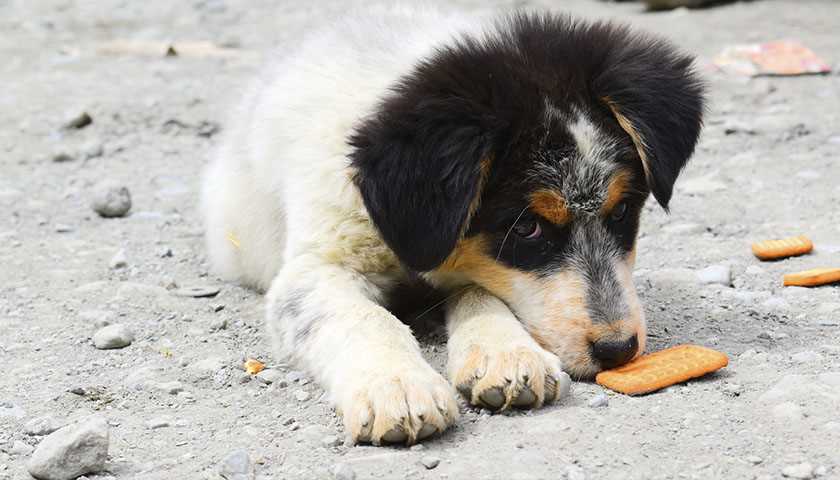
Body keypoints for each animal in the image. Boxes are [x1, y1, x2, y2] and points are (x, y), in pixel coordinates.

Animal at [202, 5, 704, 444]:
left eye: (621, 213)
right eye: (527, 229)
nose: (618, 350)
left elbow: (479, 289)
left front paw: (507, 354)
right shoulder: (316, 265)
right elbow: (363, 317)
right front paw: (397, 387)